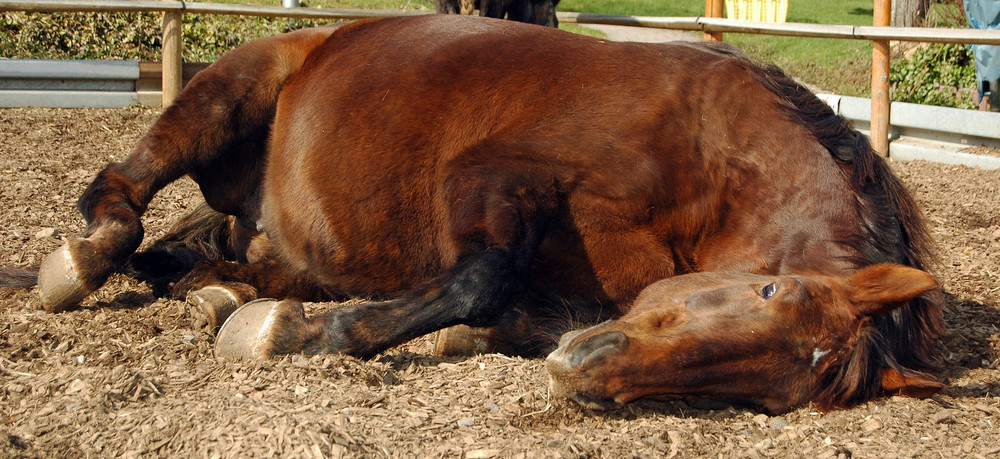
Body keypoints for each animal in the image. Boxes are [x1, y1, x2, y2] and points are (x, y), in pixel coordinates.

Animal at [33, 16, 936, 416]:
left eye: (765, 400)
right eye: (769, 292)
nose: (589, 378)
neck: (709, 144)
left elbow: (515, 312)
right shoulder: (494, 175)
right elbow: (482, 277)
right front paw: (315, 335)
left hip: (269, 234)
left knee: (220, 259)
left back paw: (219, 291)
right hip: (224, 95)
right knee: (121, 199)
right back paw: (83, 262)